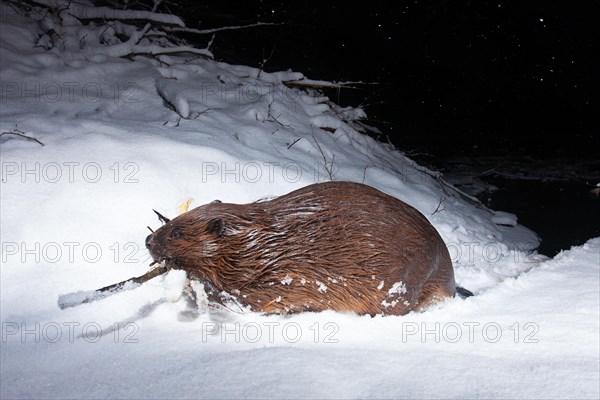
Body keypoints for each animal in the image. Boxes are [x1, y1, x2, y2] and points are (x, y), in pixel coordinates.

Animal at [144, 181, 464, 316]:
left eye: (176, 232)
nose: (148, 241)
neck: (256, 244)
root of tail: (449, 279)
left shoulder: (282, 277)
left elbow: (252, 299)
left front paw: (195, 283)